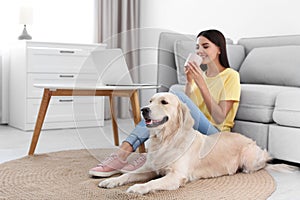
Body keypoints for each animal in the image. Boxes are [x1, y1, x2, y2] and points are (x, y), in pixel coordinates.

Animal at [98, 92, 272, 194]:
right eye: (150, 101)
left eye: (164, 102)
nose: (144, 109)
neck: (165, 139)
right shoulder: (150, 168)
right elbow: (128, 174)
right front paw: (111, 180)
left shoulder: (176, 175)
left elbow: (153, 182)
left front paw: (137, 188)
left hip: (249, 158)